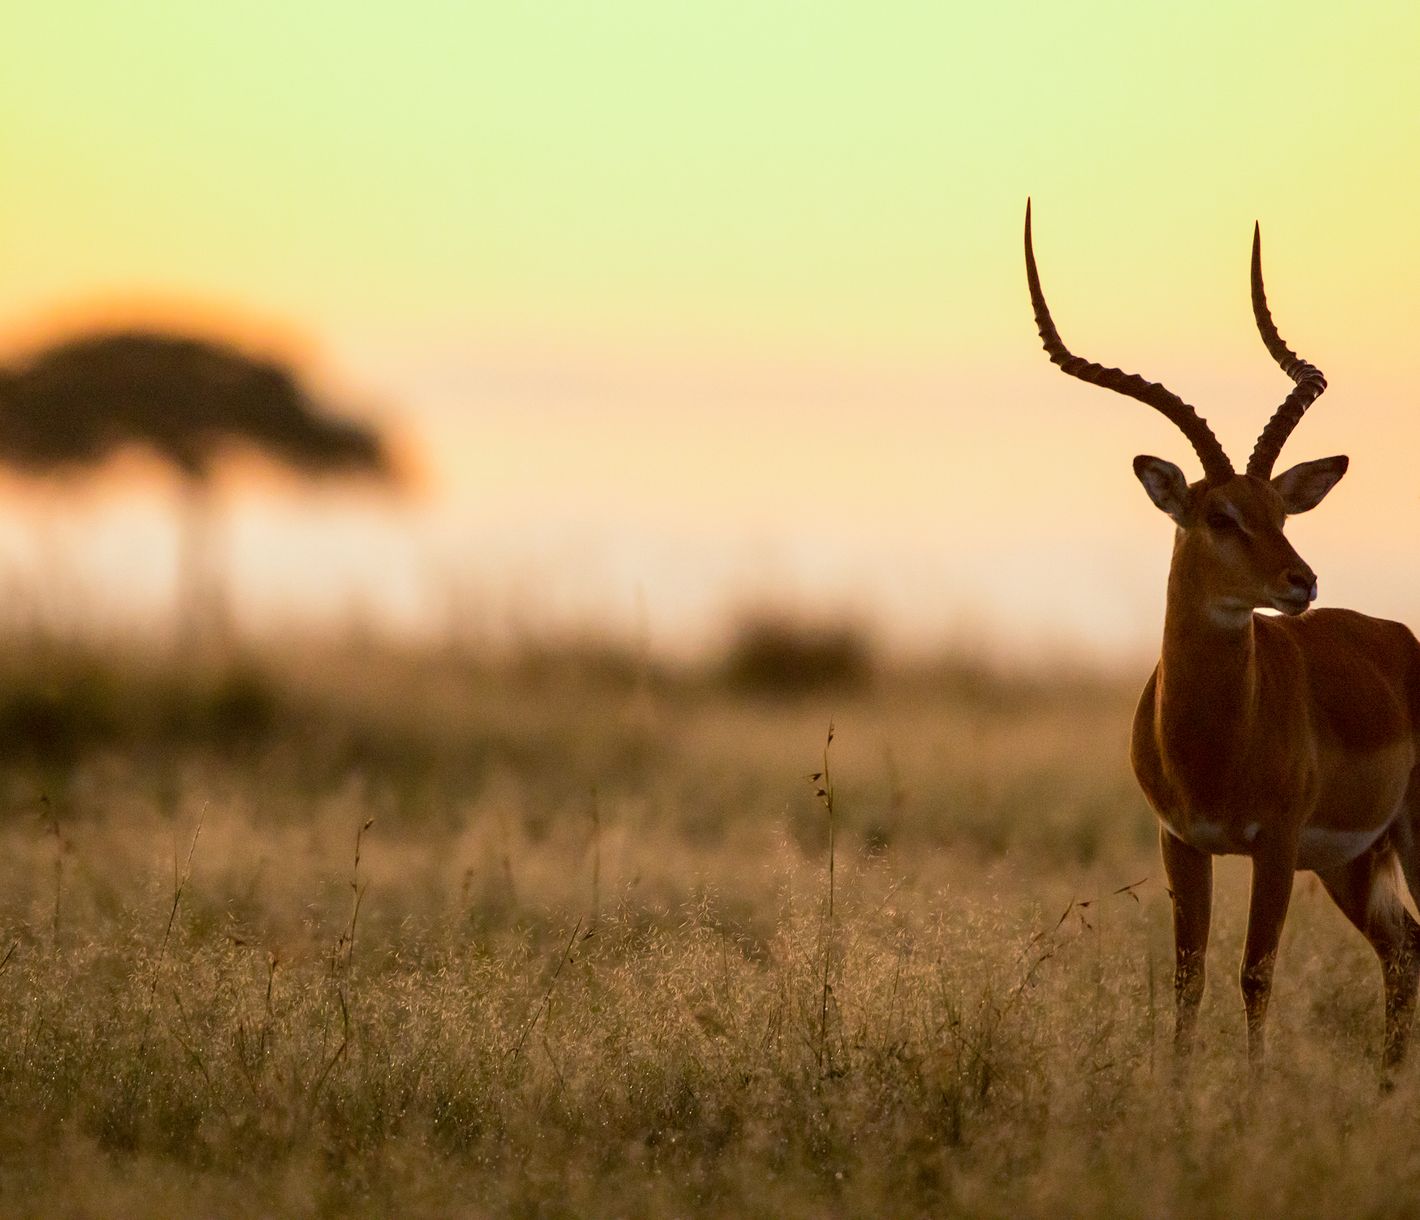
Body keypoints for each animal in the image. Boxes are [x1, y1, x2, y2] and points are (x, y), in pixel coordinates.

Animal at [1024, 201, 1420, 1076]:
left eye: (1279, 509)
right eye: (1220, 514)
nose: (1301, 582)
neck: (1214, 740)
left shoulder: (1274, 845)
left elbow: (1255, 974)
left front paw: (1252, 1091)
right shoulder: (1183, 843)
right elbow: (1190, 978)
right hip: (1351, 859)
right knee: (1405, 950)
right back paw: (1384, 1090)